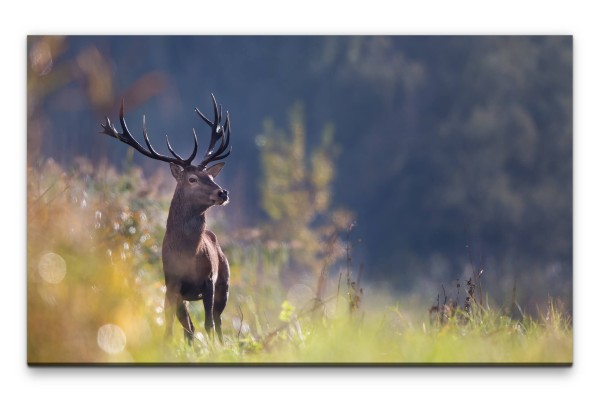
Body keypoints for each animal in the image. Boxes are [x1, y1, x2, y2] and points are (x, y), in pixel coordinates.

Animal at [99, 93, 231, 344]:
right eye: (192, 179)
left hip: (224, 282)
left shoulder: (209, 280)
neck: (187, 256)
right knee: (189, 327)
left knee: (217, 322)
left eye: (210, 176)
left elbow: (208, 323)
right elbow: (169, 328)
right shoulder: (171, 283)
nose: (223, 192)